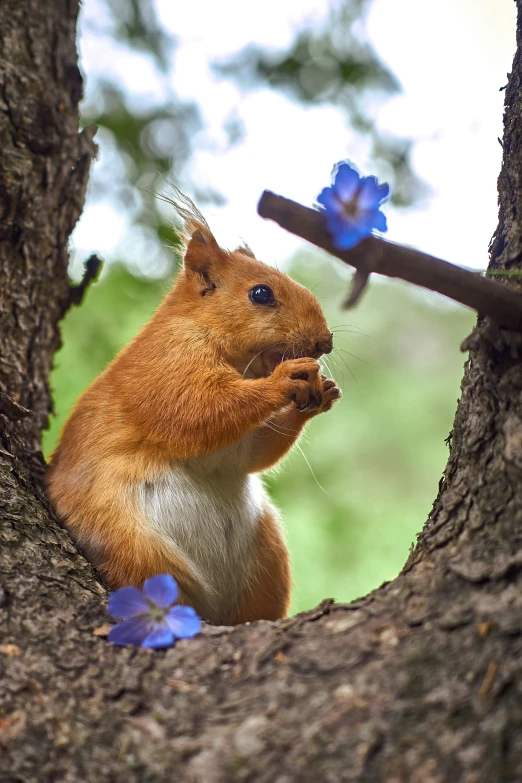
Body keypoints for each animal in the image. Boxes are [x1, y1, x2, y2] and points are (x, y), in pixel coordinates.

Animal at [46, 193, 340, 628]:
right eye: (261, 294)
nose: (326, 341)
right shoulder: (166, 368)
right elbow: (200, 413)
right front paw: (284, 380)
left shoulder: (241, 444)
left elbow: (256, 453)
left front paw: (323, 395)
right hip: (134, 549)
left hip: (267, 555)